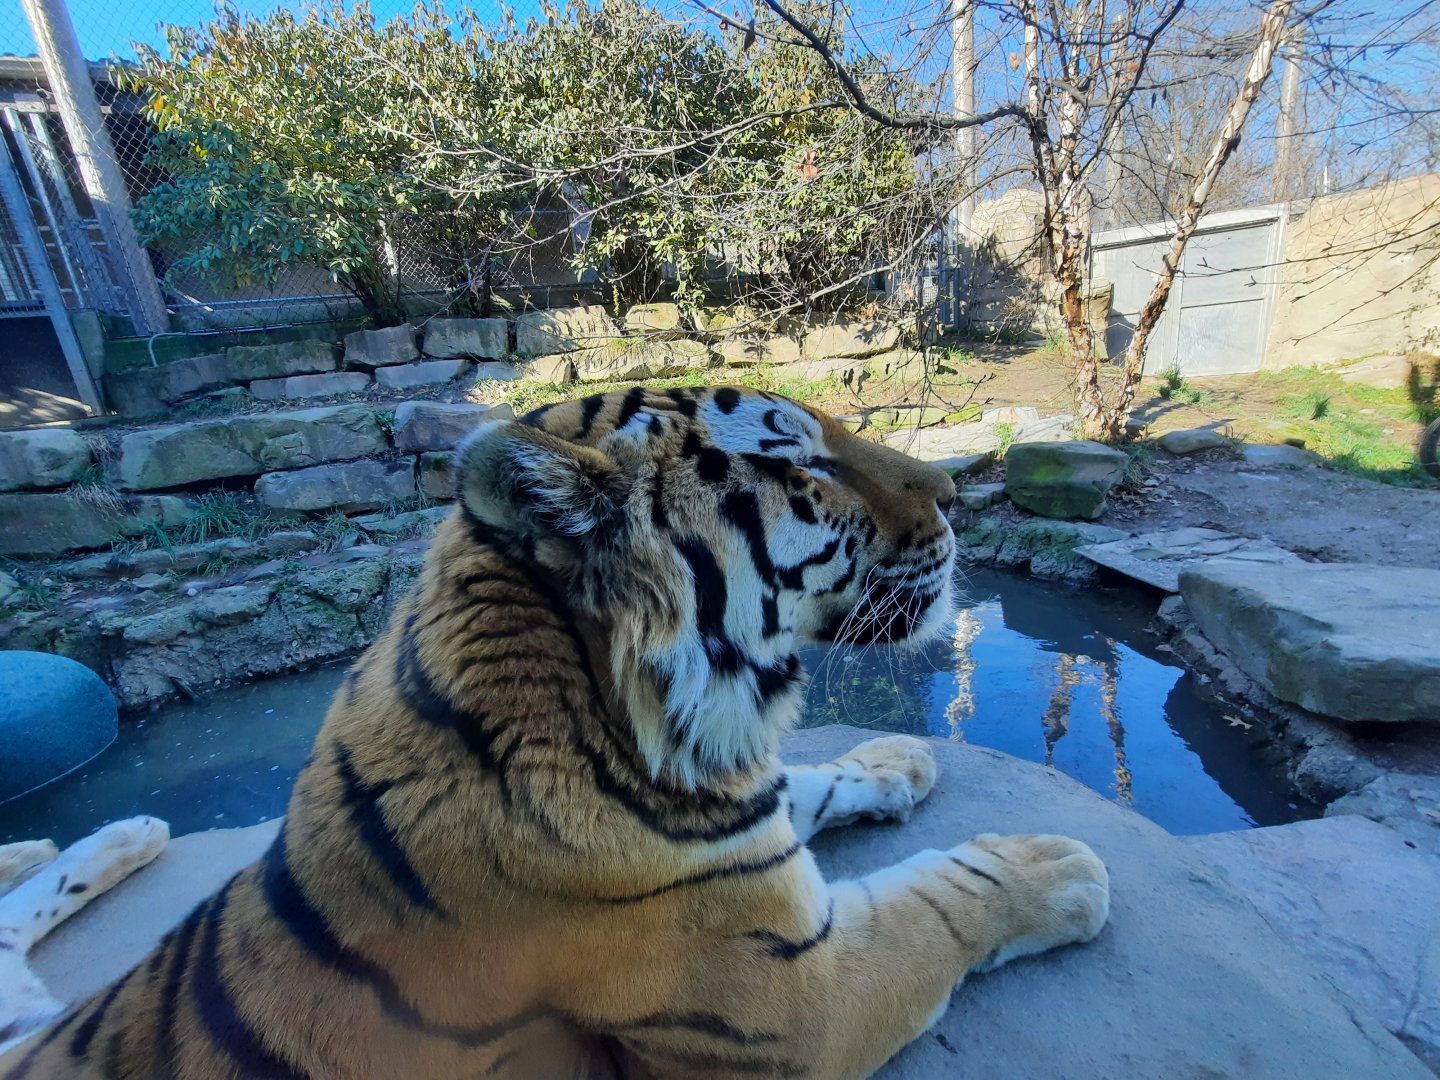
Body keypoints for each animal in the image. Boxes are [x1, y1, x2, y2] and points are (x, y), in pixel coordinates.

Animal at [0, 384, 1109, 1080]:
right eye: (800, 462)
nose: (961, 494)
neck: (636, 723)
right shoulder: (794, 1003)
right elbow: (939, 899)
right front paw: (1055, 867)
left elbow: (809, 782)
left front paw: (896, 757)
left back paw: (118, 833)